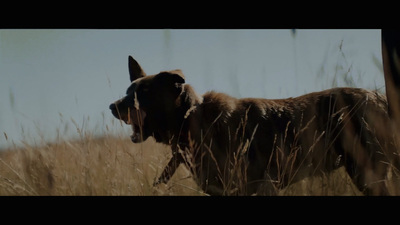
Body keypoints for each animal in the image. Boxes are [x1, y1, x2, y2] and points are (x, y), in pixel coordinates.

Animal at [110, 55, 400, 195]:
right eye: (128, 91)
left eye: (145, 92)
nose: (113, 106)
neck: (191, 119)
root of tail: (381, 98)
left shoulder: (261, 187)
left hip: (367, 174)